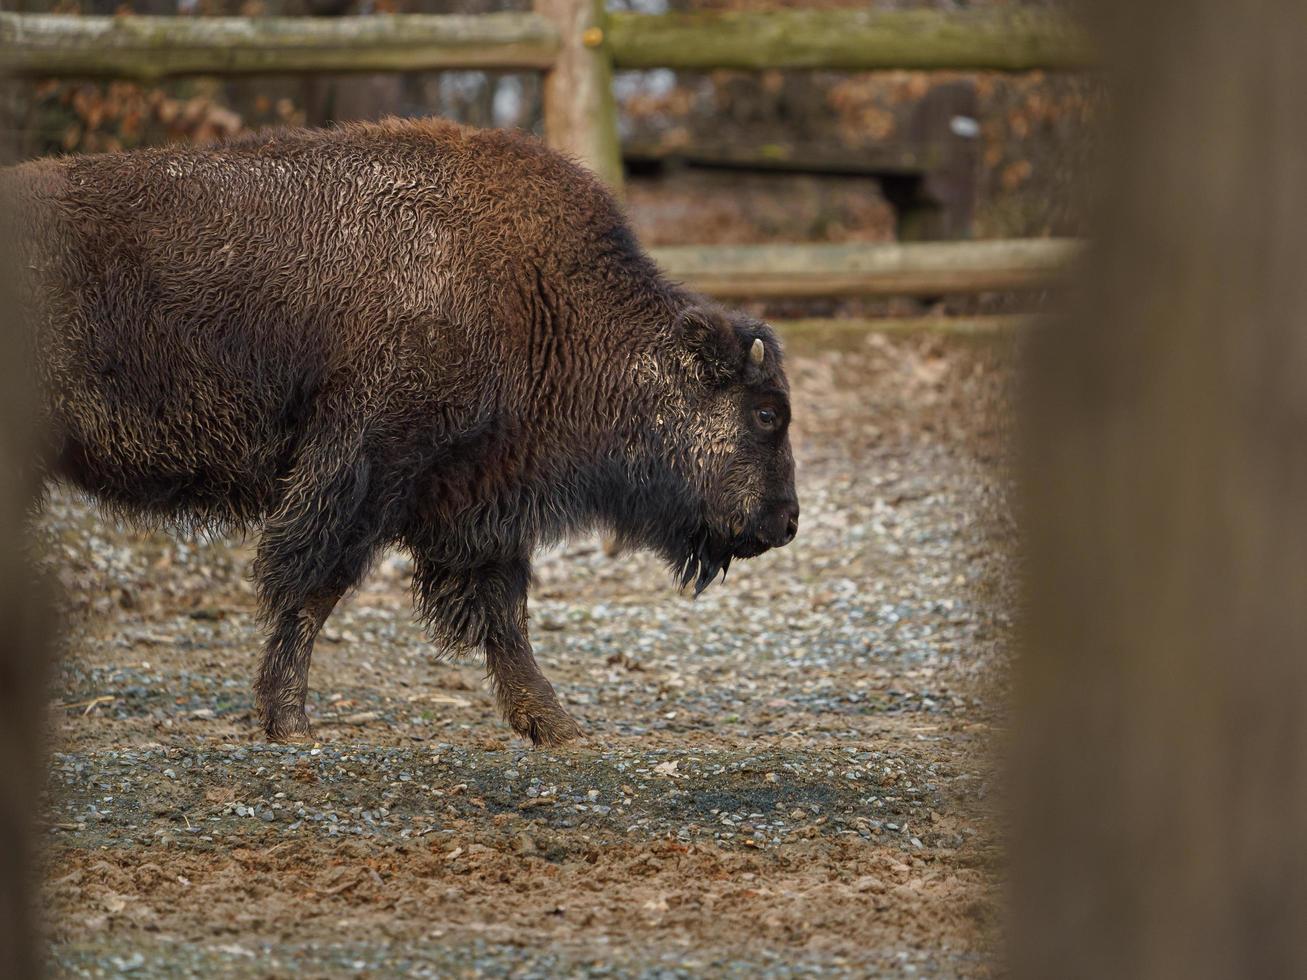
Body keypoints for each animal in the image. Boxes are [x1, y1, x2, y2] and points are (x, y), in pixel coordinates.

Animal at [7, 118, 794, 747]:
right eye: (765, 414)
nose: (784, 522)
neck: (536, 299)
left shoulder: (475, 499)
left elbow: (503, 613)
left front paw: (559, 728)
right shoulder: (365, 470)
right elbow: (313, 585)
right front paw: (289, 725)